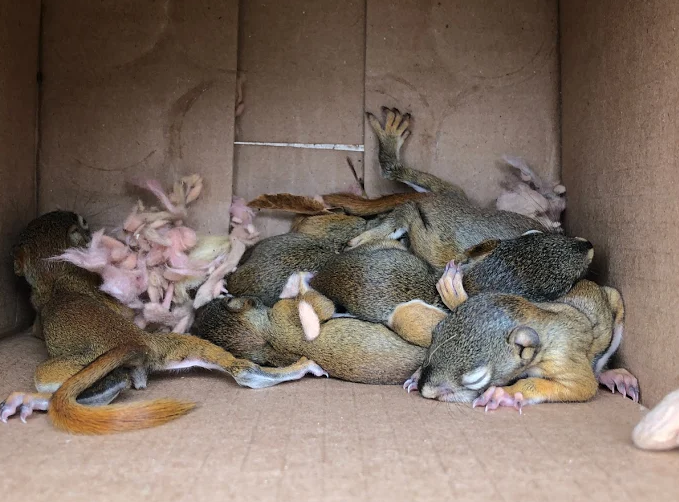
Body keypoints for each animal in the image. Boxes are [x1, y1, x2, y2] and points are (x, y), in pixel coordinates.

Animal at [0, 210, 326, 434]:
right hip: (173, 347)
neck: (58, 273)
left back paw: (30, 399)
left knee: (90, 381)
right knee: (241, 370)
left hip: (75, 366)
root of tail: (138, 342)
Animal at [405, 263, 639, 410]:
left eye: (476, 379)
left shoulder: (562, 359)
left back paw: (614, 376)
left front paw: (505, 394)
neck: (539, 316)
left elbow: (583, 386)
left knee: (599, 369)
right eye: (436, 332)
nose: (425, 389)